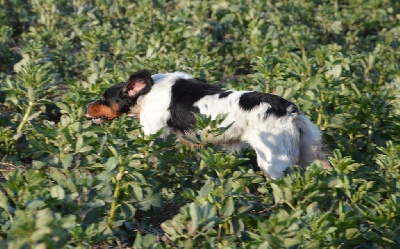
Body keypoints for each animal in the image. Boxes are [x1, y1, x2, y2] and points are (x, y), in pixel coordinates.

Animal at [86, 69, 330, 179]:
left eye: (104, 98)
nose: (87, 107)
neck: (147, 93)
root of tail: (289, 110)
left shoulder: (152, 135)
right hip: (310, 154)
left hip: (274, 161)